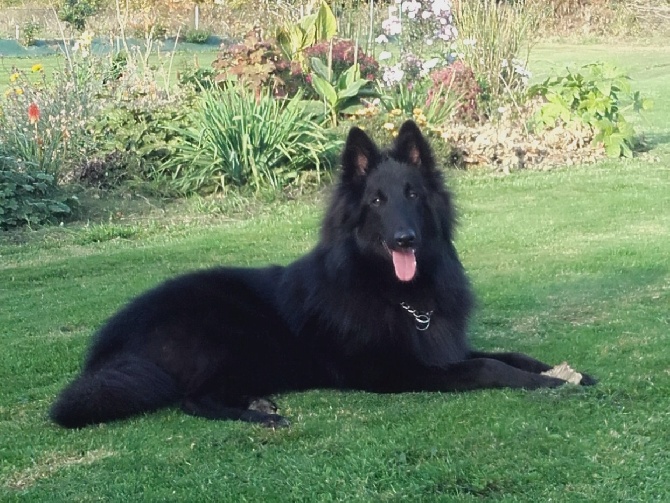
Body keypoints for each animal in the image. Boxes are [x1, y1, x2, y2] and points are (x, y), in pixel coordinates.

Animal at [51, 122, 592, 430]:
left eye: (413, 195)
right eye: (377, 201)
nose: (404, 240)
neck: (398, 295)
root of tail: (111, 340)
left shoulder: (441, 346)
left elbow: (508, 354)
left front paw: (567, 371)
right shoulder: (393, 372)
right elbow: (487, 367)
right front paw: (546, 384)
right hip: (234, 335)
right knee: (190, 401)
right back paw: (256, 415)